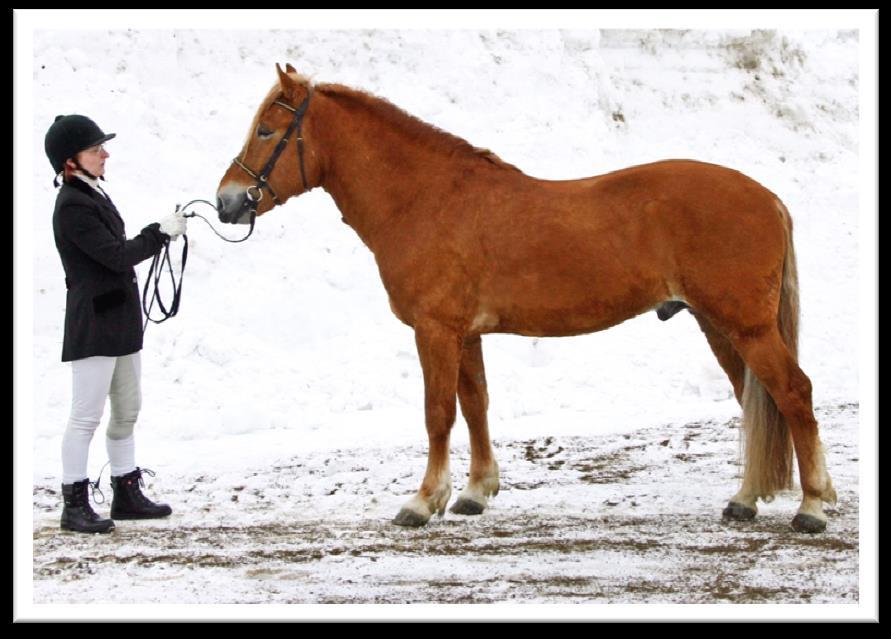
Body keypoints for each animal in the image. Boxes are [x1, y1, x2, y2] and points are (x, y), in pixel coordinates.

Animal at [214, 65, 836, 536]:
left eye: (267, 131)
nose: (227, 202)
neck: (427, 198)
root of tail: (768, 197)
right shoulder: (465, 333)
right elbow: (476, 406)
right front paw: (474, 492)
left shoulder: (436, 330)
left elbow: (438, 413)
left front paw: (423, 501)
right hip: (718, 325)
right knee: (755, 399)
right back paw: (746, 500)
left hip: (746, 326)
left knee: (793, 393)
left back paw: (811, 506)